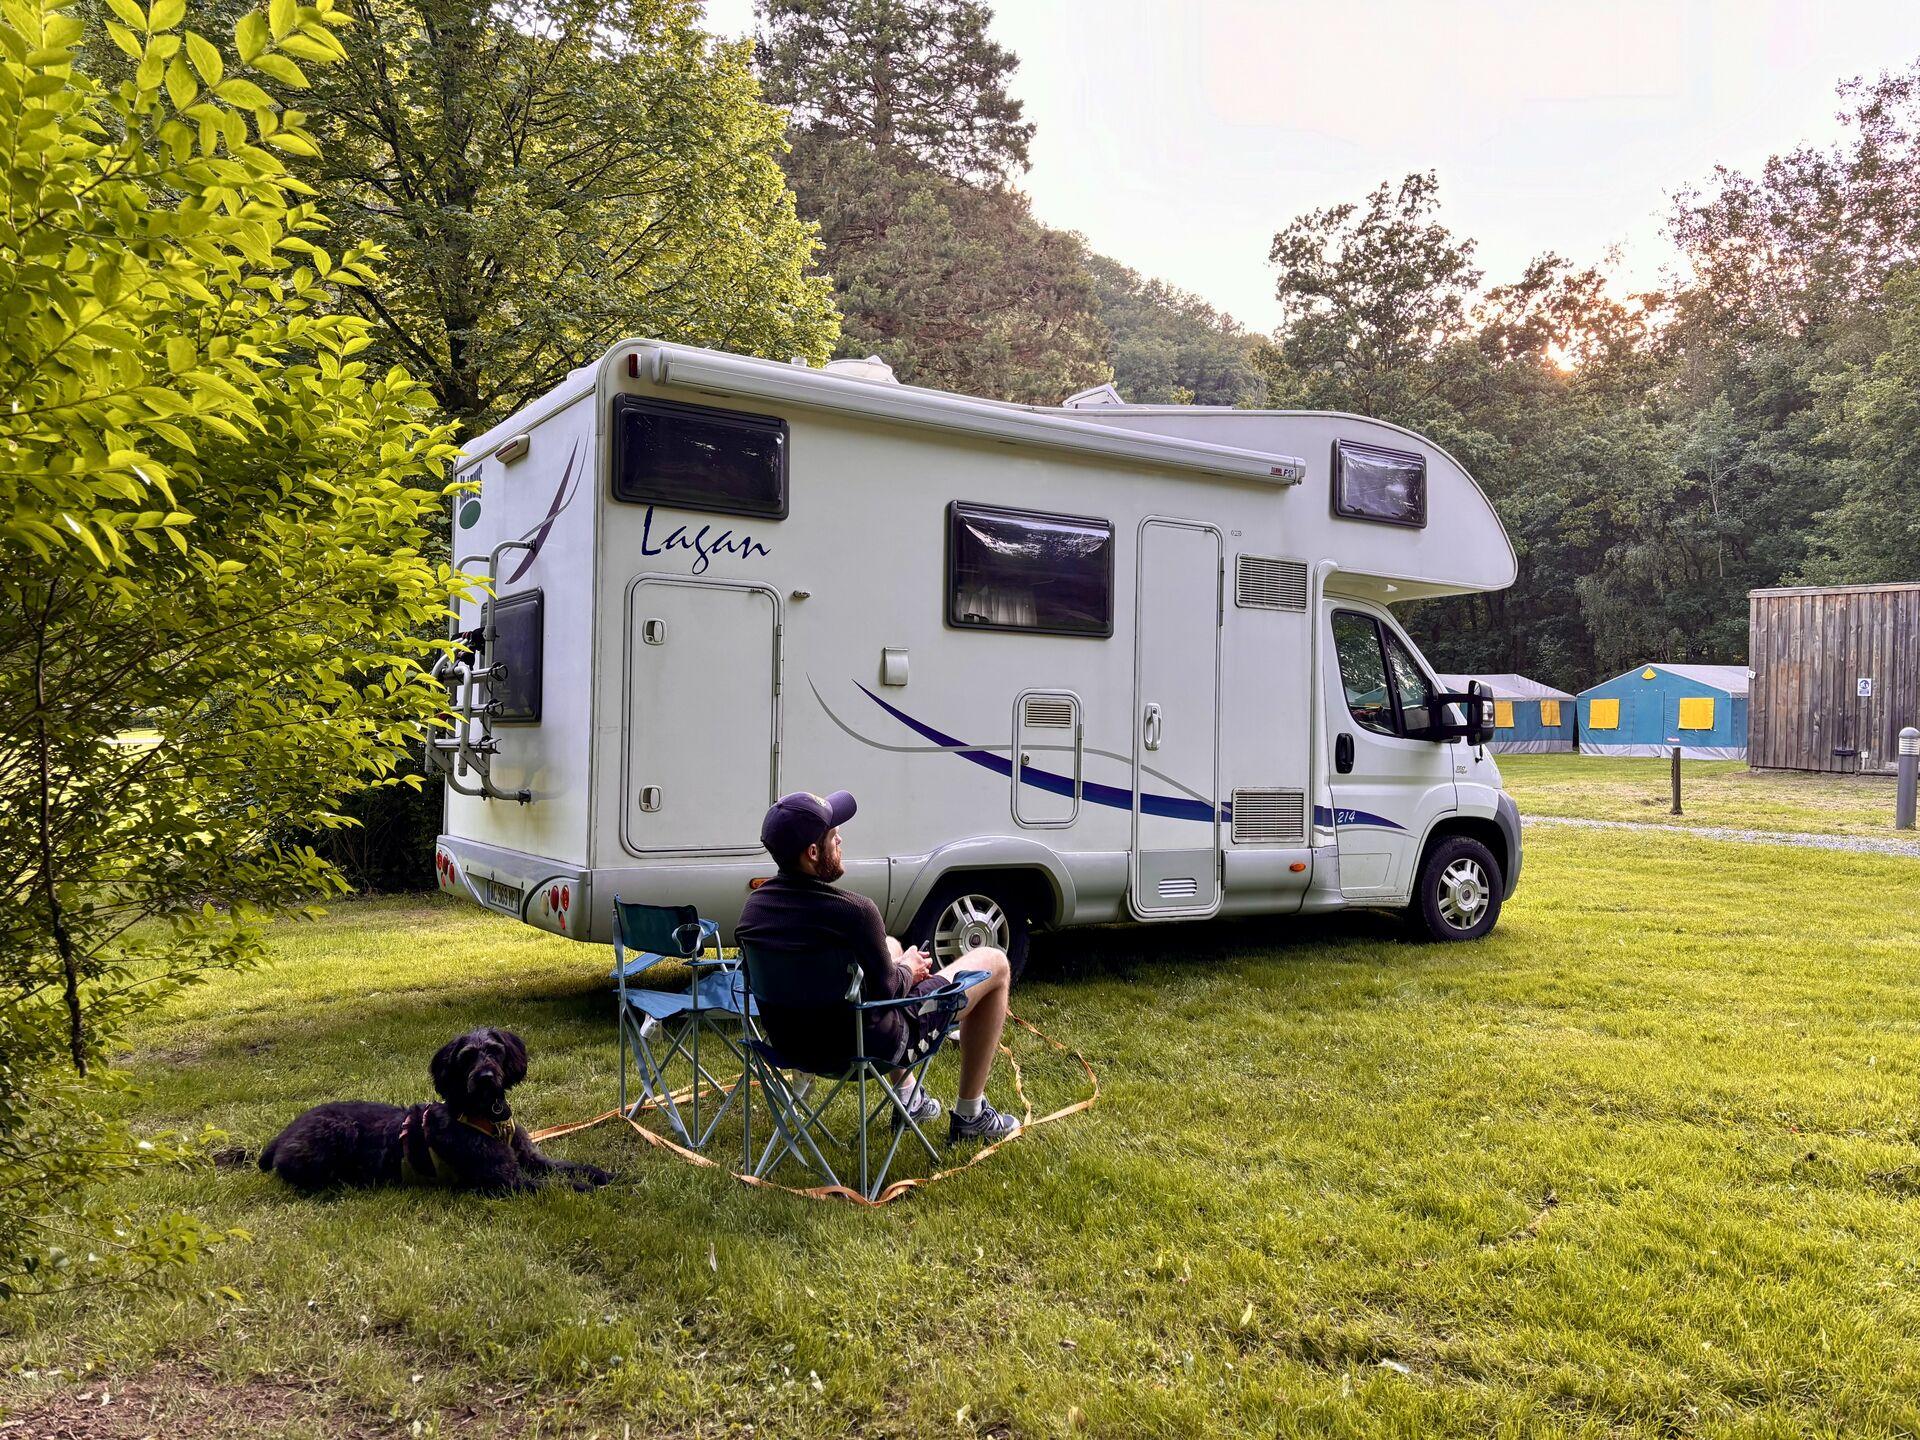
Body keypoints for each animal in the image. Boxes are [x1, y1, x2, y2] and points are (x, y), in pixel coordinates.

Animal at [259, 1029, 610, 1198]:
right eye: (467, 1057)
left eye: (495, 1051)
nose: (485, 1077)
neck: (486, 1114)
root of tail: (280, 1138)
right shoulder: (505, 1179)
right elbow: (561, 1185)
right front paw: (595, 1191)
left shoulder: (530, 1158)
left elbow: (568, 1167)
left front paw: (606, 1175)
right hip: (337, 1130)